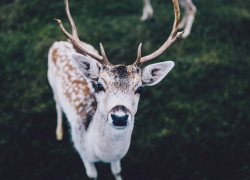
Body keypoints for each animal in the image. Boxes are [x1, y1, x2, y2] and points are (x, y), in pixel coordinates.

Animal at [47, 0, 184, 179]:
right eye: (99, 85)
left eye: (140, 88)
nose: (120, 117)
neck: (101, 154)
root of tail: (60, 42)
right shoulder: (83, 153)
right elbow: (92, 175)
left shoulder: (118, 158)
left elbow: (117, 171)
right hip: (51, 79)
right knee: (57, 102)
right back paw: (58, 132)